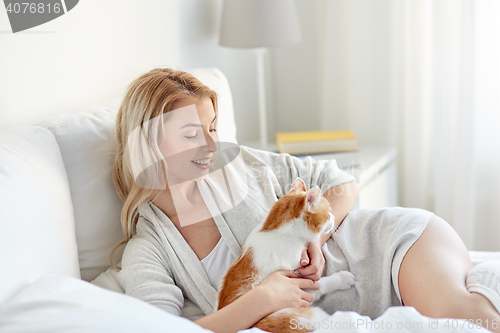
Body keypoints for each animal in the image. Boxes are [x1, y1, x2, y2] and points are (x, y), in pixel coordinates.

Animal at [219, 178, 356, 330]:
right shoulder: (299, 286)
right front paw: (342, 279)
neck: (278, 232)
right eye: (328, 213)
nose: (333, 217)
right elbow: (320, 284)